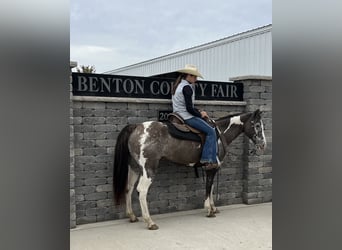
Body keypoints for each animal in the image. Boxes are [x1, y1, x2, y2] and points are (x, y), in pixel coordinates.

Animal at [113, 109, 268, 230]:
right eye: (257, 125)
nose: (263, 145)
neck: (220, 133)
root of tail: (136, 127)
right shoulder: (211, 168)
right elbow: (208, 187)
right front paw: (209, 210)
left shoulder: (212, 168)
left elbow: (211, 187)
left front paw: (214, 208)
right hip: (148, 168)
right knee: (142, 190)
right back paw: (150, 222)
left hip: (134, 167)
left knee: (129, 188)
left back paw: (132, 216)